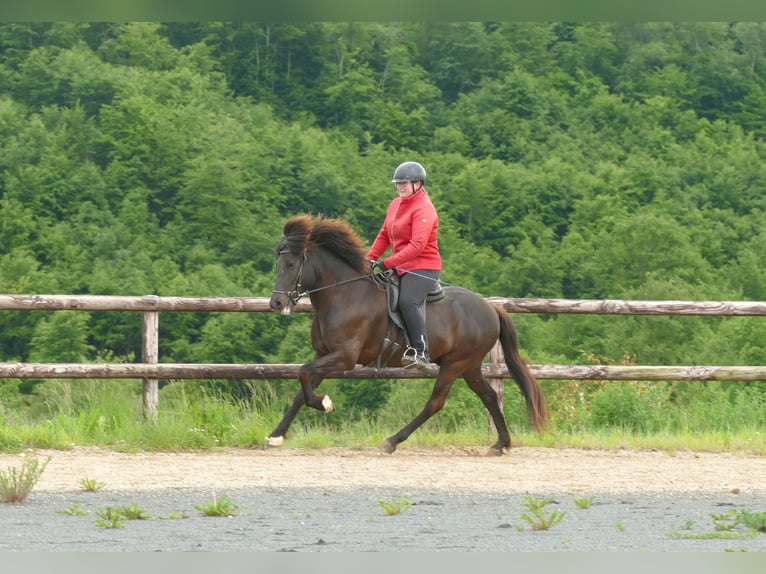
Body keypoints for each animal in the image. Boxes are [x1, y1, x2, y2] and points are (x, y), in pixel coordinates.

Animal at [267, 214, 548, 455]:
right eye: (278, 264)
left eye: (291, 264)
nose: (276, 304)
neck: (344, 296)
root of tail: (491, 307)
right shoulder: (323, 355)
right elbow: (301, 388)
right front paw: (276, 436)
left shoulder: (344, 358)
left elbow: (303, 374)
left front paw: (324, 403)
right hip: (469, 365)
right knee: (489, 396)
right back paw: (501, 444)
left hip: (456, 364)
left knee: (435, 403)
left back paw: (391, 441)